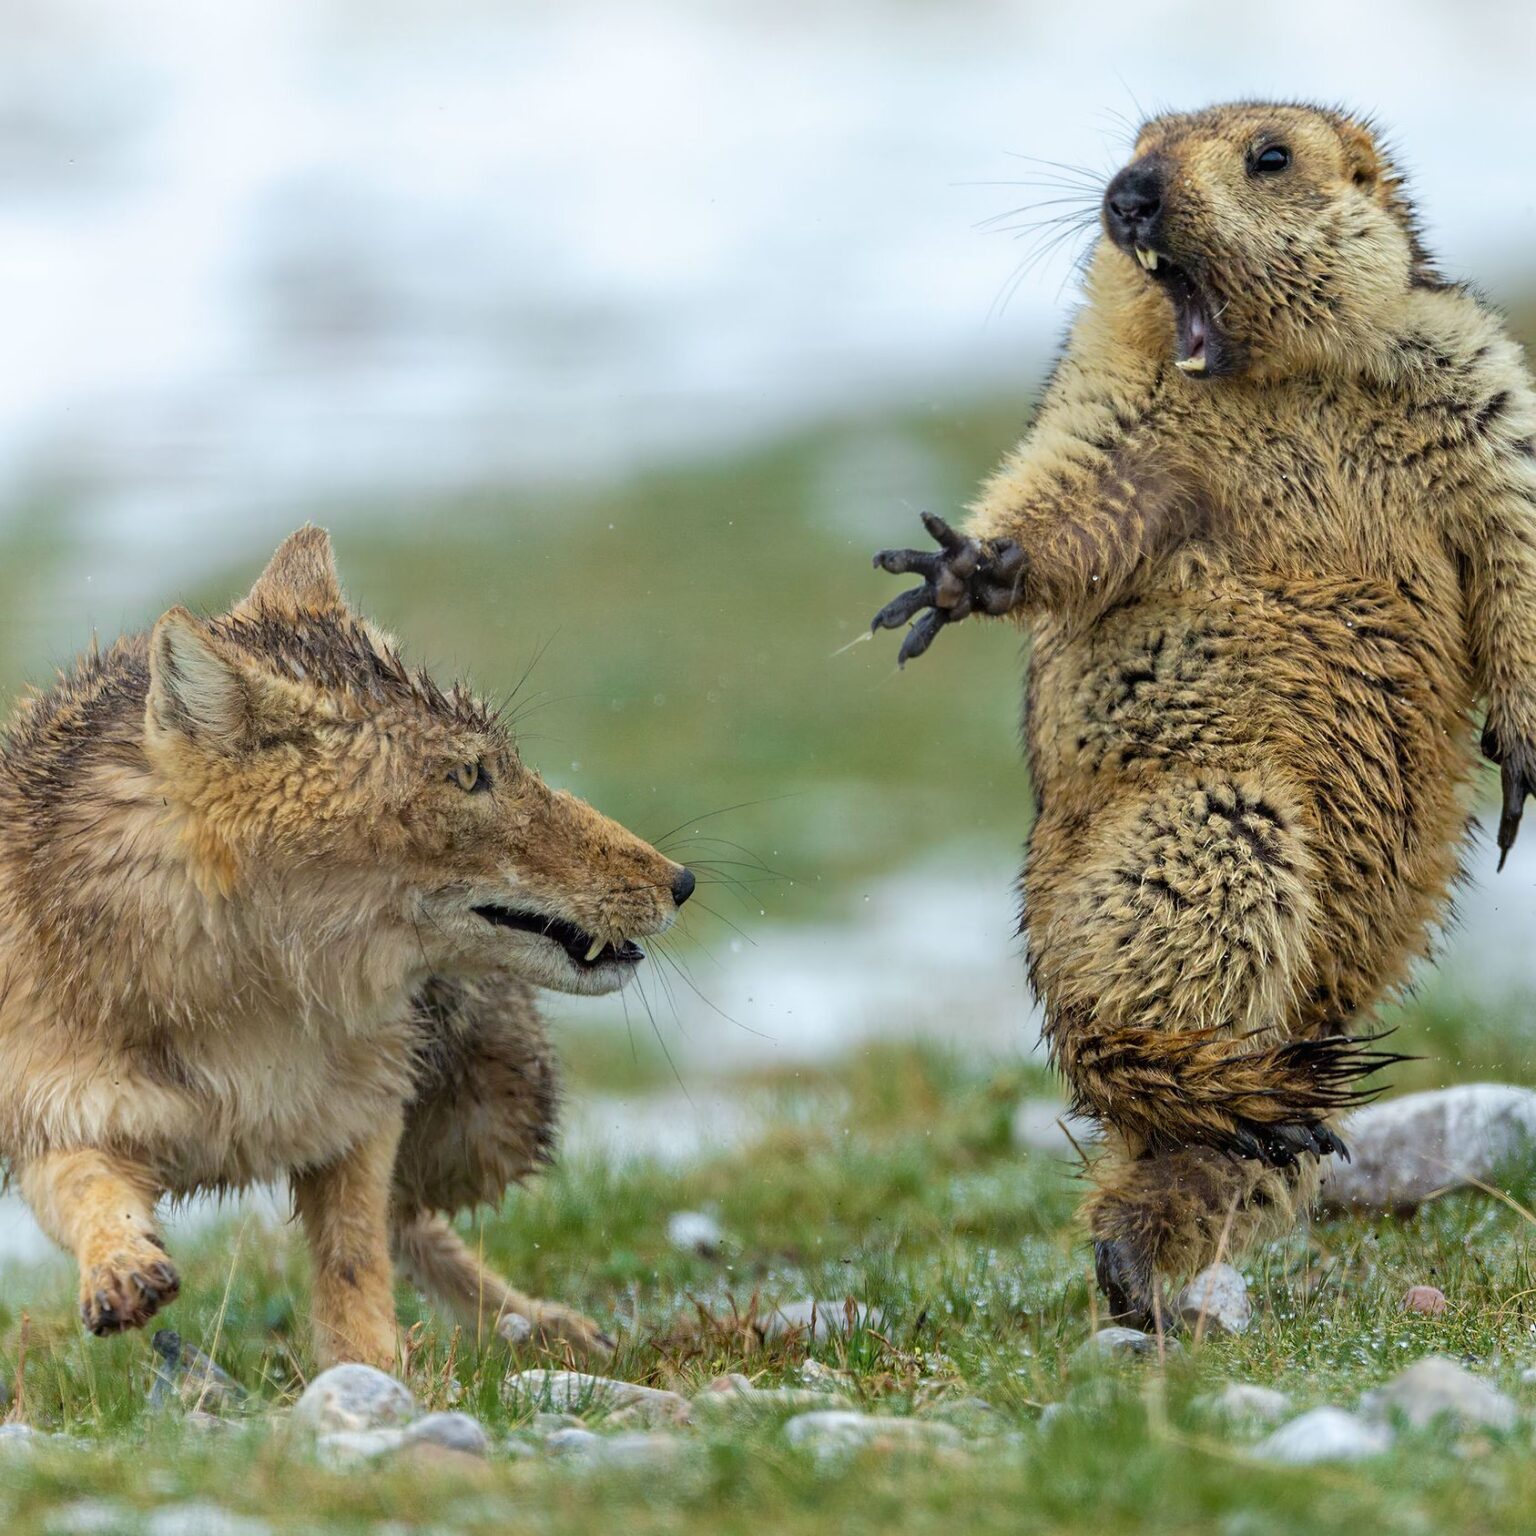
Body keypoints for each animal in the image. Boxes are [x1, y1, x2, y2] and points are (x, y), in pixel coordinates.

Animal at [0, 528, 691, 1370]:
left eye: (501, 764)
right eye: (470, 775)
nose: (682, 881)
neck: (240, 1008)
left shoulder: (359, 1115)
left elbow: (355, 1257)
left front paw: (372, 1369)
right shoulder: (54, 1118)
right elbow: (87, 1192)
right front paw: (120, 1267)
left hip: (493, 1124)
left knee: (413, 1221)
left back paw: (541, 1324)